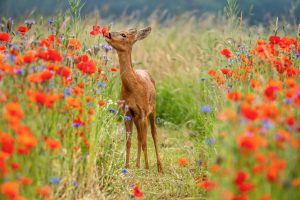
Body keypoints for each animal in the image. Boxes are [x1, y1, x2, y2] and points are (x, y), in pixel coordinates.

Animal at [105, 26, 163, 173]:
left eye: (123, 35)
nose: (108, 33)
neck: (133, 87)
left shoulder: (143, 112)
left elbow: (145, 141)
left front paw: (147, 168)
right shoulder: (128, 112)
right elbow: (129, 141)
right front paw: (126, 166)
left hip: (153, 109)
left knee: (154, 134)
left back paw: (159, 166)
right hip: (137, 117)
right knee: (138, 137)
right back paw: (137, 164)